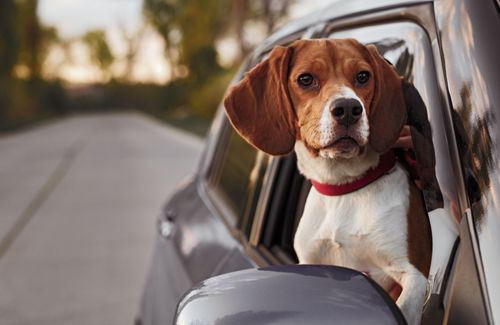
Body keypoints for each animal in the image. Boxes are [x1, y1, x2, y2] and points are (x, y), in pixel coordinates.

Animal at [225, 38, 432, 324]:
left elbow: (404, 306)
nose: (348, 109)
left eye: (363, 76)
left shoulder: (414, 273)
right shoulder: (312, 264)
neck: (344, 187)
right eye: (305, 79)